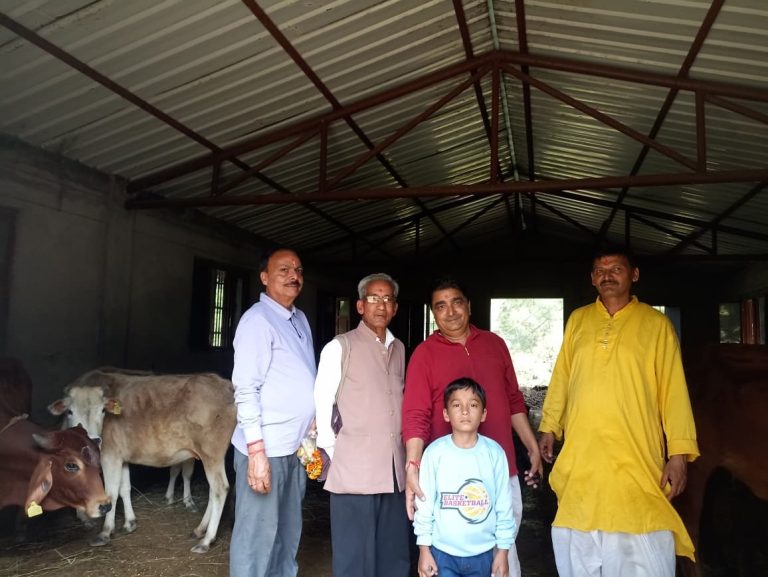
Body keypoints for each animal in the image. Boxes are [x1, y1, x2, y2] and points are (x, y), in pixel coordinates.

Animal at [49, 368, 236, 553]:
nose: (92, 440)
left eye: (102, 410)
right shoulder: (121, 457)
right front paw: (130, 523)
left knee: (219, 489)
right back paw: (199, 529)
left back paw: (206, 540)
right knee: (212, 491)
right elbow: (124, 489)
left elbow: (110, 493)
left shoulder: (109, 456)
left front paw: (105, 532)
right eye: (70, 411)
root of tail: (222, 383)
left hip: (211, 453)